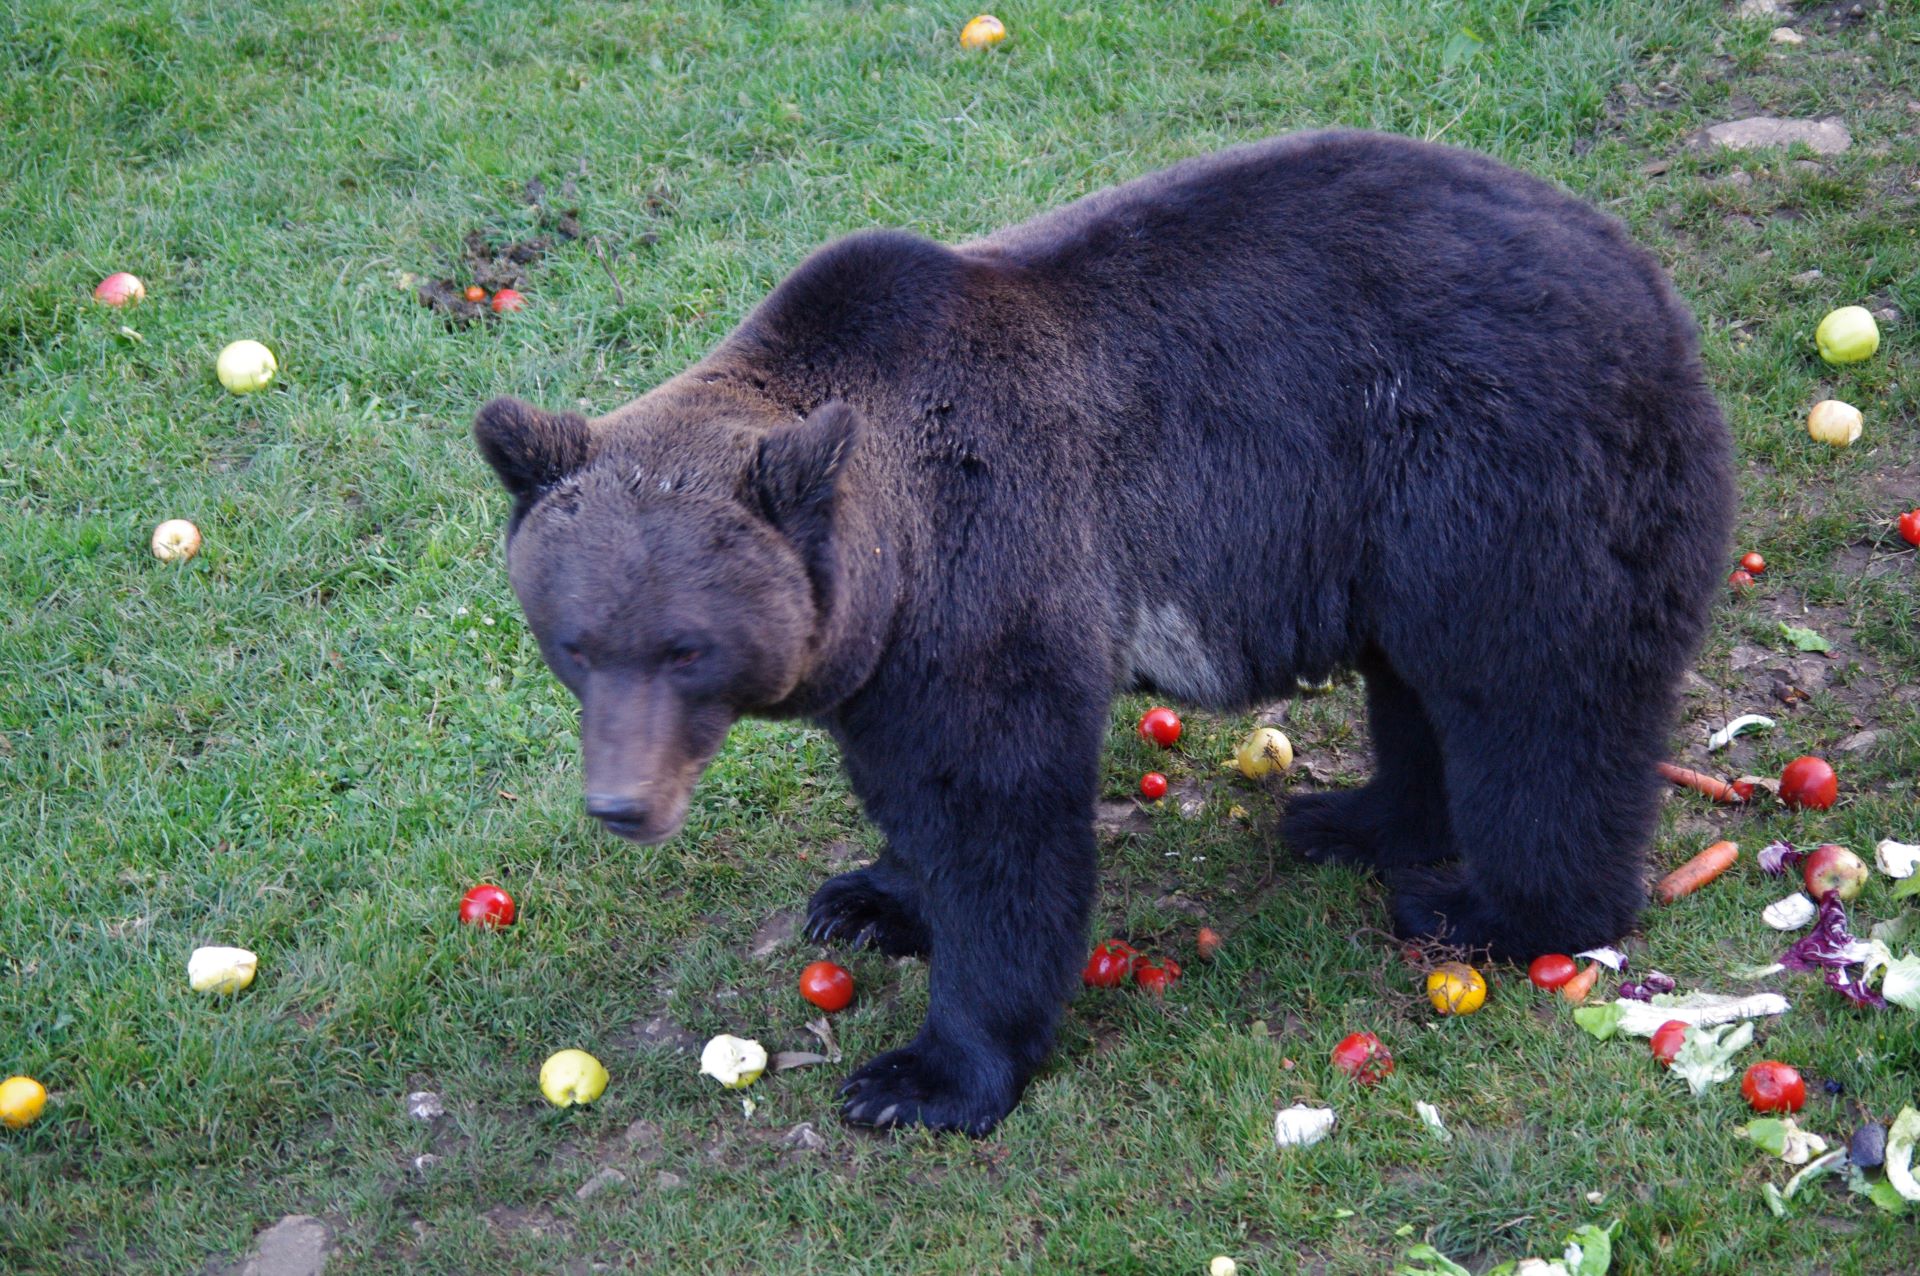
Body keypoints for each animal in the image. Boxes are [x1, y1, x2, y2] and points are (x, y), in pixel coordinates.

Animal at [476, 129, 1743, 1135]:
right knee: (1421, 687)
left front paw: (924, 1075)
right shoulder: (884, 657)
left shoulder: (993, 564)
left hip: (1499, 475)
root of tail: (1643, 275)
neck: (887, 544)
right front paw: (872, 896)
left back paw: (1493, 909)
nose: (621, 805)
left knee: (1535, 698)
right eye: (576, 643)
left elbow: (998, 812)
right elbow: (904, 788)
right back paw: (1354, 819)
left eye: (685, 648)